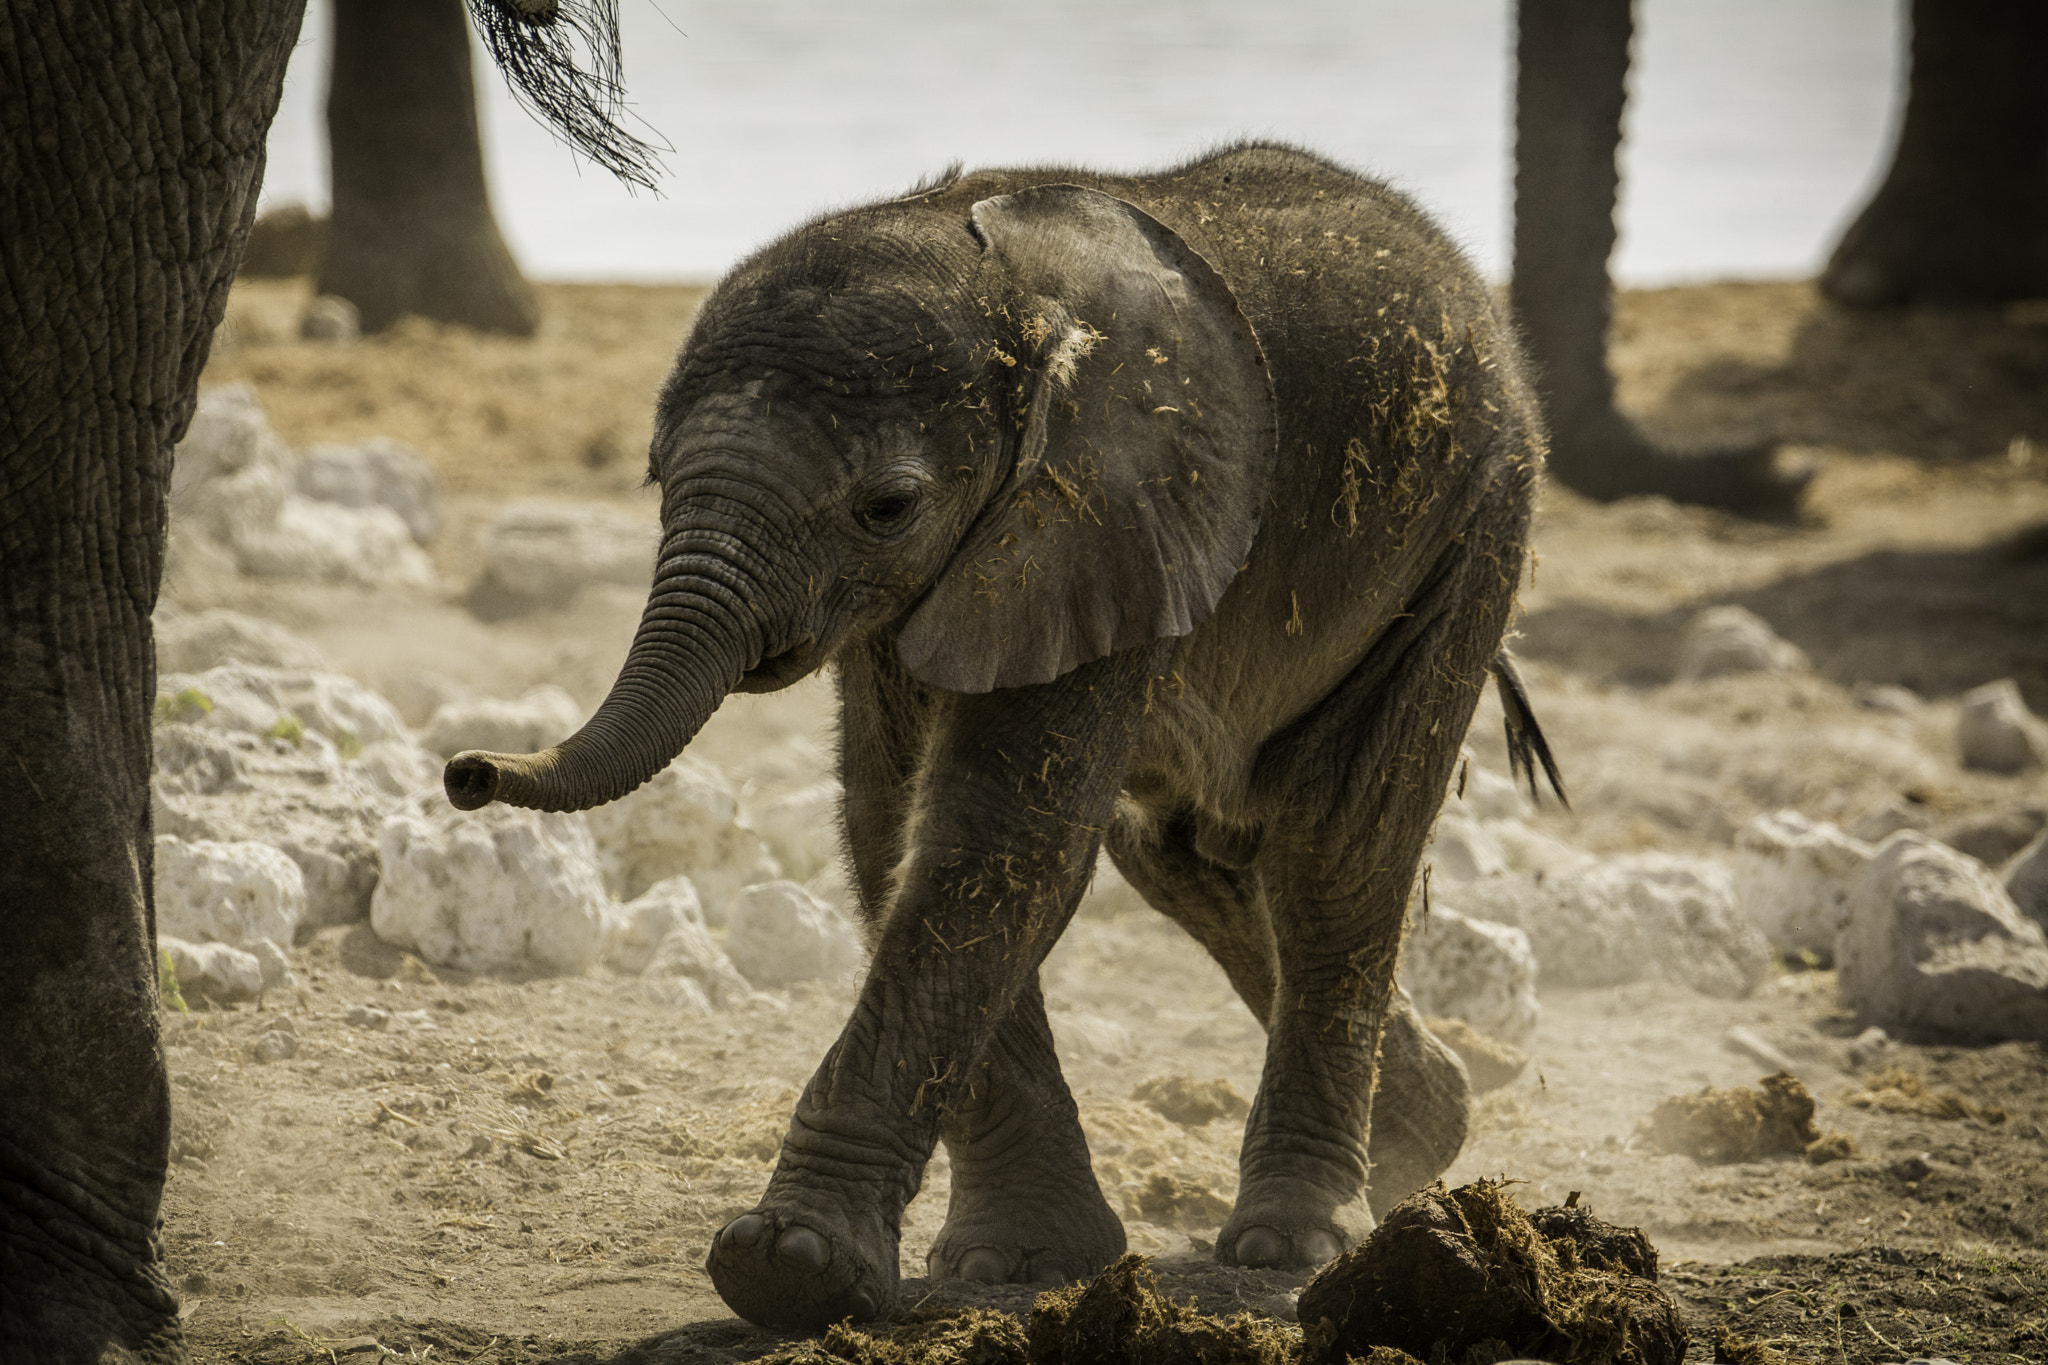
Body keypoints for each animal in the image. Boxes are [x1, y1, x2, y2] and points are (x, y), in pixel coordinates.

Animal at [452, 144, 1548, 1326]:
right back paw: (1424, 1130)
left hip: (1474, 522)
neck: (1002, 297)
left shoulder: (1102, 513)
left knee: (1335, 849)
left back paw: (1292, 1238)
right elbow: (898, 830)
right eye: (655, 477)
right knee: (1187, 856)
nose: (467, 771)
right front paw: (1010, 1267)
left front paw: (786, 1268)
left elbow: (994, 844)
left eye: (886, 507)